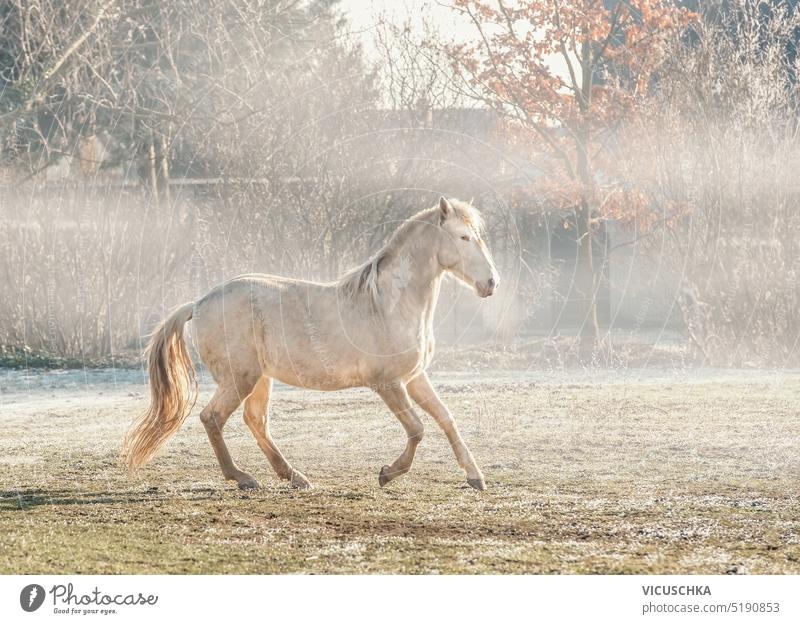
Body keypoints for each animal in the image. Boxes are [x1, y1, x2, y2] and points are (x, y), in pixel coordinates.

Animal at [123, 197, 500, 490]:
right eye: (464, 237)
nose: (491, 283)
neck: (390, 305)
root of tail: (199, 303)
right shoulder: (387, 383)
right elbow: (418, 428)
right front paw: (387, 474)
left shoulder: (414, 378)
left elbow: (446, 419)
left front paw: (476, 477)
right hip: (239, 378)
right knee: (212, 417)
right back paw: (243, 478)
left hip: (259, 379)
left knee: (255, 421)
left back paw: (294, 477)